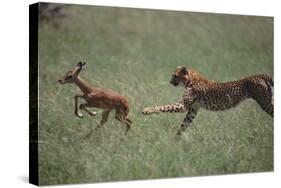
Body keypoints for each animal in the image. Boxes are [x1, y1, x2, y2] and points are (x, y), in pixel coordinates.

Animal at [141, 66, 272, 137]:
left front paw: (147, 110)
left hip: (266, 103)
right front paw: (175, 140)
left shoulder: (183, 106)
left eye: (174, 75)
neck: (191, 80)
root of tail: (259, 75)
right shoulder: (193, 109)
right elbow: (184, 125)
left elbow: (163, 106)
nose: (170, 81)